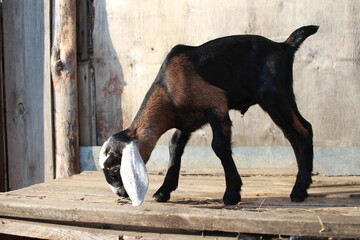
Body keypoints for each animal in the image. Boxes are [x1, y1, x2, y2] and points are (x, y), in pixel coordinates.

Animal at [100, 25, 320, 206]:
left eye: (114, 169)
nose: (120, 194)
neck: (168, 89)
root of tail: (284, 47)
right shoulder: (187, 122)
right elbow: (174, 147)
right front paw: (163, 191)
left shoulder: (217, 105)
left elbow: (219, 146)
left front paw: (232, 194)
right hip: (273, 103)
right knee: (293, 134)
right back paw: (305, 182)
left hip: (276, 95)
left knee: (303, 131)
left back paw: (298, 191)